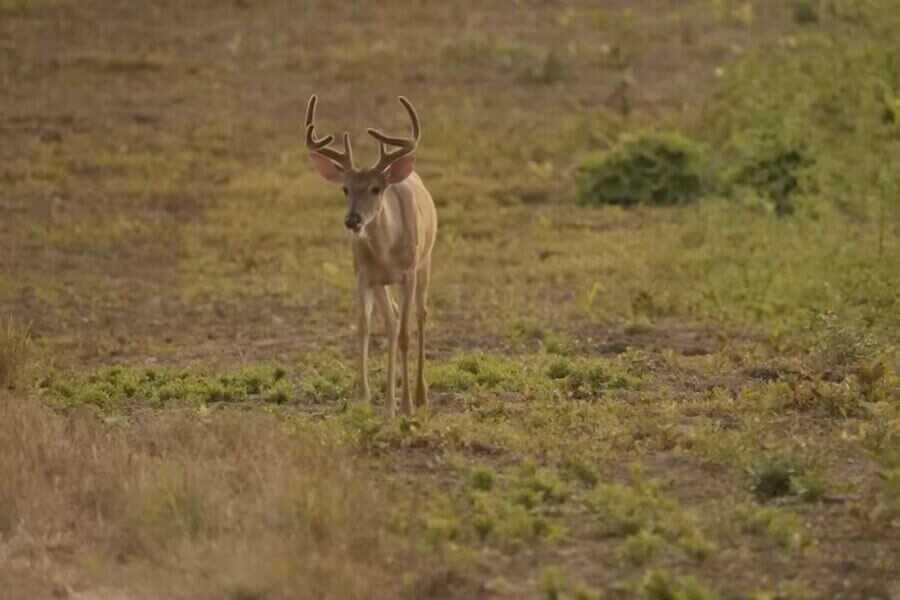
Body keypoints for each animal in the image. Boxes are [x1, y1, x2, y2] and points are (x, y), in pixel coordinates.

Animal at [304, 95, 437, 418]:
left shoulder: (408, 273)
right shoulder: (365, 274)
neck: (387, 251)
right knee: (391, 320)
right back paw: (388, 404)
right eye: (345, 188)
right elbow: (364, 327)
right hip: (382, 283)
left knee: (419, 316)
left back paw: (420, 396)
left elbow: (404, 336)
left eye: (376, 189)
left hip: (425, 263)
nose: (352, 220)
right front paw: (363, 398)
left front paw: (407, 405)